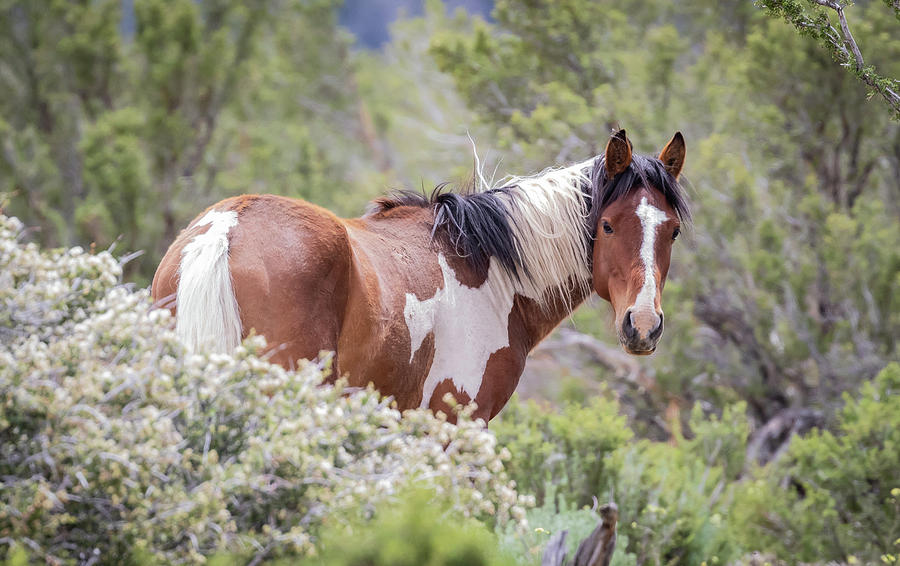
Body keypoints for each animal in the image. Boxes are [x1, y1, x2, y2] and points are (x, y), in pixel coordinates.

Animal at [153, 129, 688, 422]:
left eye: (674, 231)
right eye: (607, 224)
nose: (642, 326)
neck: (492, 273)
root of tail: (225, 226)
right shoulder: (453, 426)